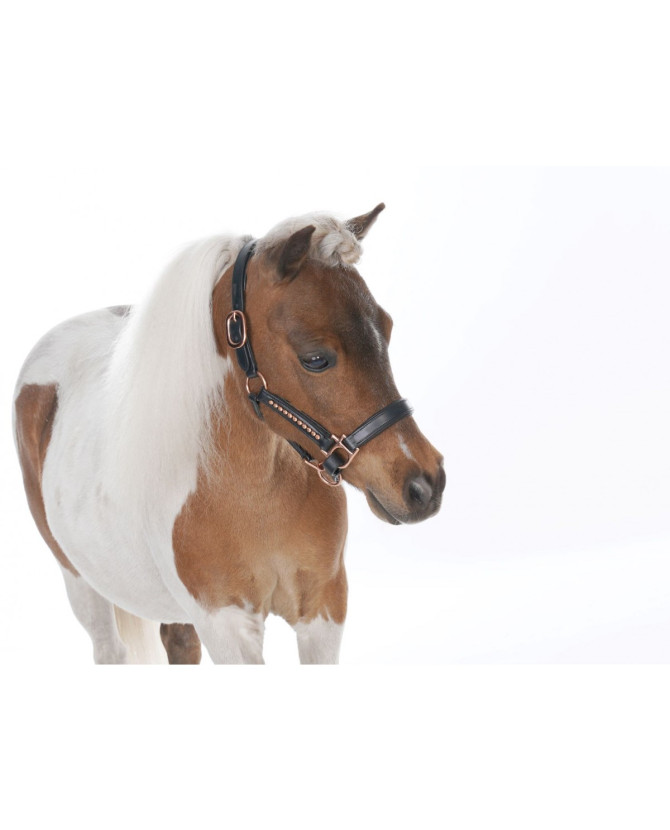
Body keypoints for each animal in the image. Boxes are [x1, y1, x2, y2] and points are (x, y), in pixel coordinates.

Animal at [13, 204, 445, 664]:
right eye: (315, 358)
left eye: (387, 328)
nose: (425, 484)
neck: (255, 493)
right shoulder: (227, 626)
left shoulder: (325, 611)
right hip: (81, 582)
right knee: (109, 649)